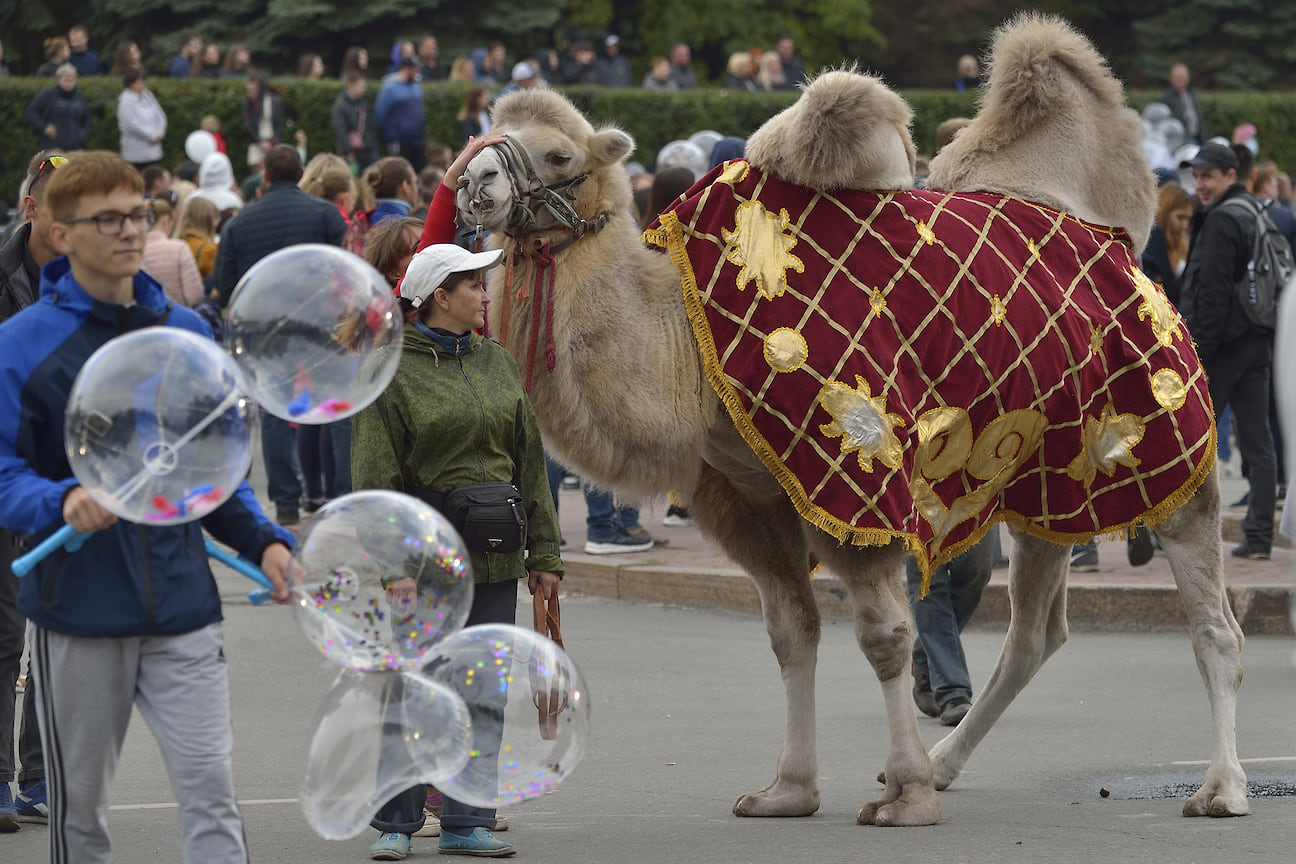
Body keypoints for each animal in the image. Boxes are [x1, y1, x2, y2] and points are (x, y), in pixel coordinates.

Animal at [456, 11, 1244, 823]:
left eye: (558, 152)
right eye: (486, 129)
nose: (472, 182)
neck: (689, 346)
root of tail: (1123, 244)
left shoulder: (854, 472)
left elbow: (885, 636)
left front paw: (906, 795)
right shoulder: (751, 498)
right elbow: (791, 633)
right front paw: (789, 789)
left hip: (1167, 441)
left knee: (1213, 623)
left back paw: (1221, 787)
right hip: (1052, 474)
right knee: (1035, 632)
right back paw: (949, 762)